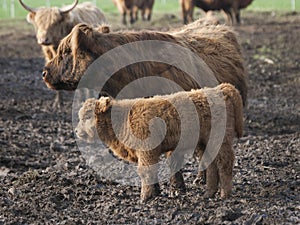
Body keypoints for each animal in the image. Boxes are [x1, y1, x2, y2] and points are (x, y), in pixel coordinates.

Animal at [75, 83, 244, 201]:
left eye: (87, 116)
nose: (76, 131)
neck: (122, 120)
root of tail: (219, 89)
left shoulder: (146, 151)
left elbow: (145, 171)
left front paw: (145, 197)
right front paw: (155, 192)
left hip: (219, 141)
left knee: (225, 162)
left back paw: (224, 194)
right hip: (206, 143)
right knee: (211, 164)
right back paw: (209, 193)